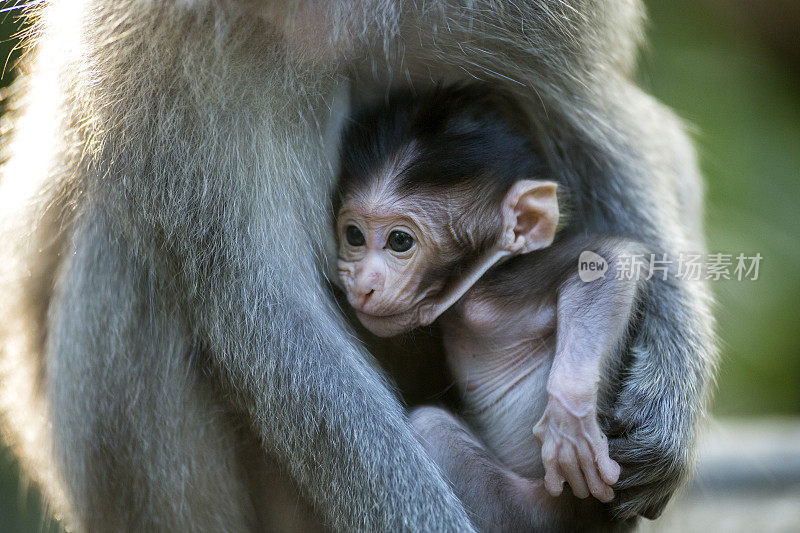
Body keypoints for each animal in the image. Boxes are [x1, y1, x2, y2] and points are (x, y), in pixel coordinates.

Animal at [334, 85, 648, 528]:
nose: (361, 286)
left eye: (399, 241)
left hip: (531, 516)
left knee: (431, 426)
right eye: (354, 236)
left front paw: (569, 422)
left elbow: (610, 260)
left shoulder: (492, 297)